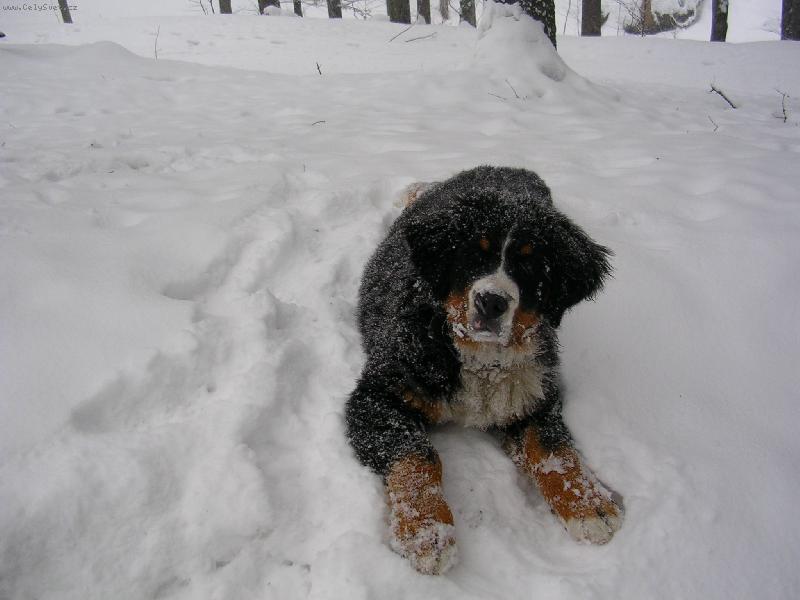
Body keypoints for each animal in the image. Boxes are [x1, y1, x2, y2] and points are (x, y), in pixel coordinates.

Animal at [345, 166, 623, 575]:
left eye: (529, 264)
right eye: (473, 255)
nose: (491, 302)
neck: (480, 360)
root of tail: (505, 168)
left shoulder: (533, 393)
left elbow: (552, 447)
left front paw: (589, 503)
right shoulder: (378, 396)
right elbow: (418, 456)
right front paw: (426, 532)